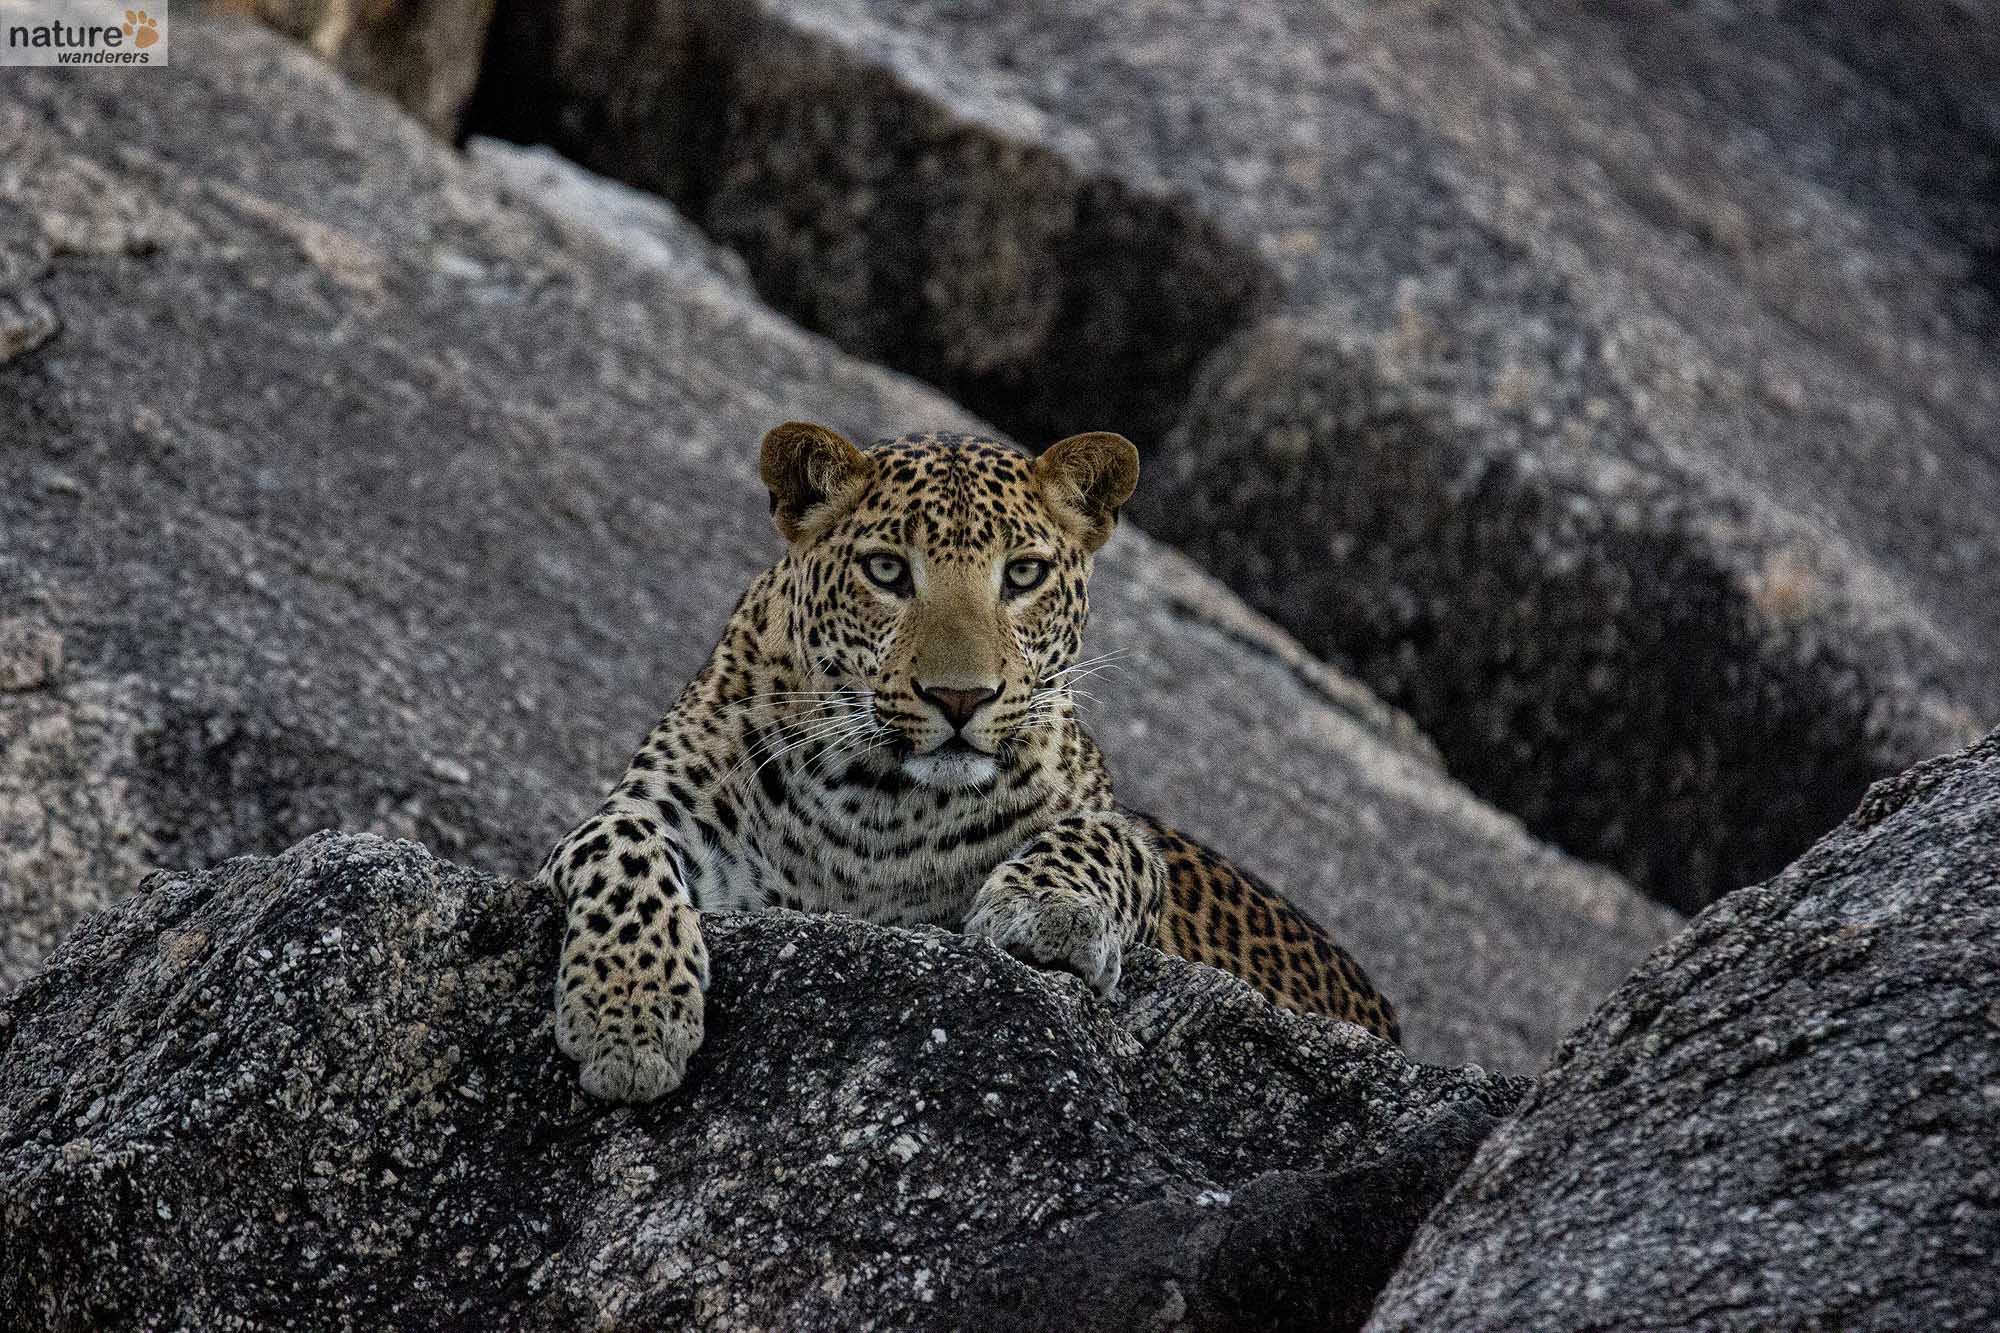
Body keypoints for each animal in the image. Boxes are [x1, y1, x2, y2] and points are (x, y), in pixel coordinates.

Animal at [540, 420, 1400, 1096]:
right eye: (887, 570)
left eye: (1023, 574)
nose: (960, 698)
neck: (875, 805)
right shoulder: (639, 813)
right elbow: (624, 852)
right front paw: (629, 1019)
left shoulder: (1128, 850)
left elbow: (1109, 837)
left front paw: (1048, 908)